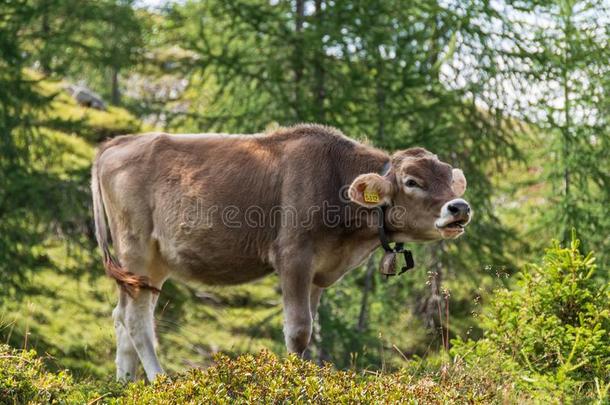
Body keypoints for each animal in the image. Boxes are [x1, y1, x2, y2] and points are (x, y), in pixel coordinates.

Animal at [91, 122, 470, 378]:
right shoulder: (293, 257)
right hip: (136, 249)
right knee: (136, 320)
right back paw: (160, 381)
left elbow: (309, 328)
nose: (460, 207)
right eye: (412, 181)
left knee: (122, 316)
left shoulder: (319, 270)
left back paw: (126, 386)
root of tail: (119, 142)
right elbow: (299, 329)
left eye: (451, 180)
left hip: (151, 264)